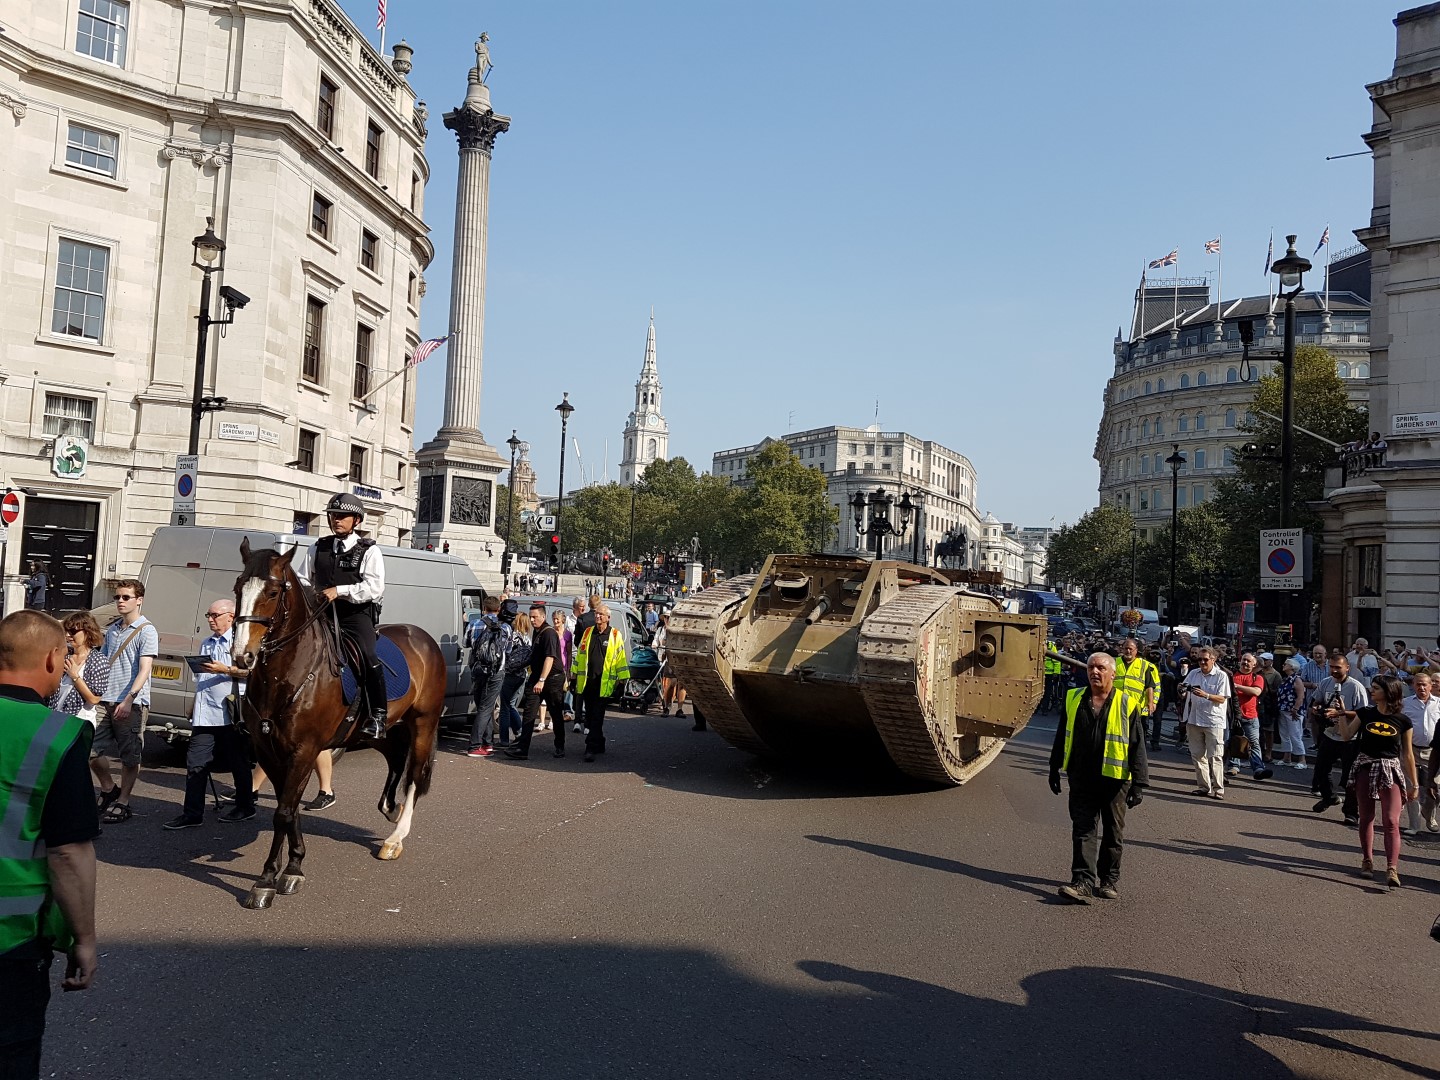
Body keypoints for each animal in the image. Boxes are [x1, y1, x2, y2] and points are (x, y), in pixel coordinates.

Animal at [233, 541, 443, 915]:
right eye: (238, 587)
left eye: (272, 592)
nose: (243, 656)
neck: (286, 678)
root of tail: (421, 636)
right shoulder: (270, 751)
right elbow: (289, 811)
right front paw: (293, 866)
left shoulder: (303, 750)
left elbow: (283, 813)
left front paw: (267, 880)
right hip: (379, 731)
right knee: (395, 758)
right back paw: (390, 807)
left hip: (423, 722)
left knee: (416, 776)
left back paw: (395, 838)